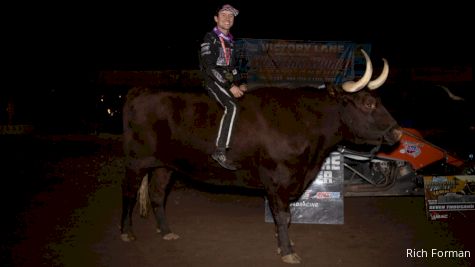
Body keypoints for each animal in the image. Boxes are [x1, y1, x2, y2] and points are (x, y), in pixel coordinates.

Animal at [120, 49, 402, 264]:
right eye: (368, 103)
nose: (397, 131)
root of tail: (141, 90)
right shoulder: (278, 179)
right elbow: (283, 216)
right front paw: (288, 251)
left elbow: (285, 216)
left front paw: (283, 244)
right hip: (135, 160)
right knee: (129, 193)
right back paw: (126, 233)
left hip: (164, 165)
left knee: (157, 195)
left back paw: (167, 232)